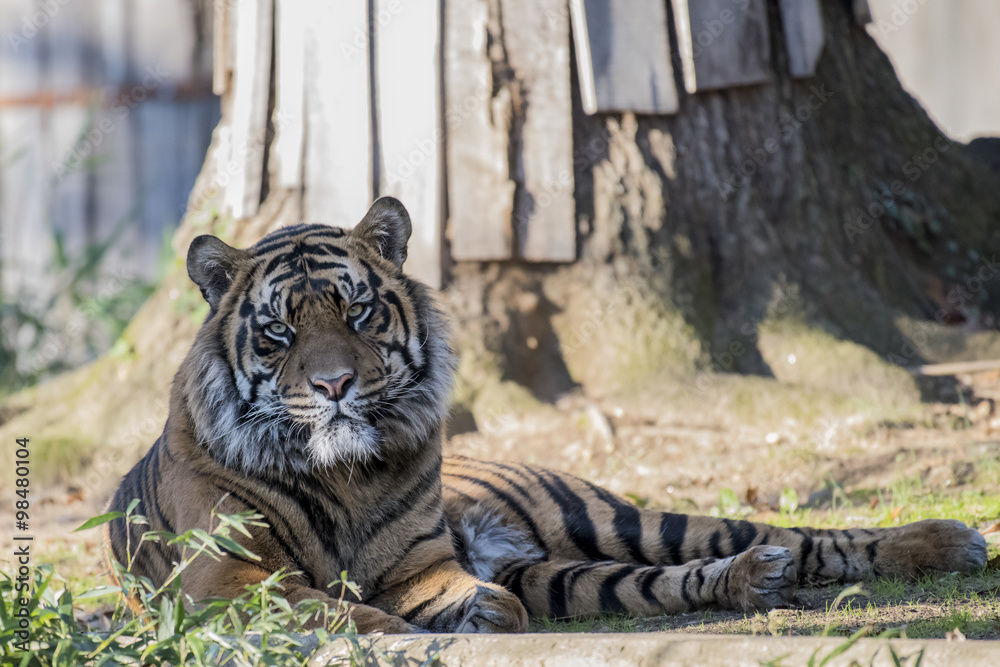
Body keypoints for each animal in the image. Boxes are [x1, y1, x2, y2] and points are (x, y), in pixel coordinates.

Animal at [106, 197, 988, 634]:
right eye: (280, 332)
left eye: (356, 312)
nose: (333, 386)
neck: (342, 474)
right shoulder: (224, 578)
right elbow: (332, 608)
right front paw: (412, 629)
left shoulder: (418, 566)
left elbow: (412, 597)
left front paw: (469, 617)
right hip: (566, 570)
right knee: (670, 582)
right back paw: (752, 581)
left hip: (613, 519)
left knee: (796, 535)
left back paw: (945, 540)